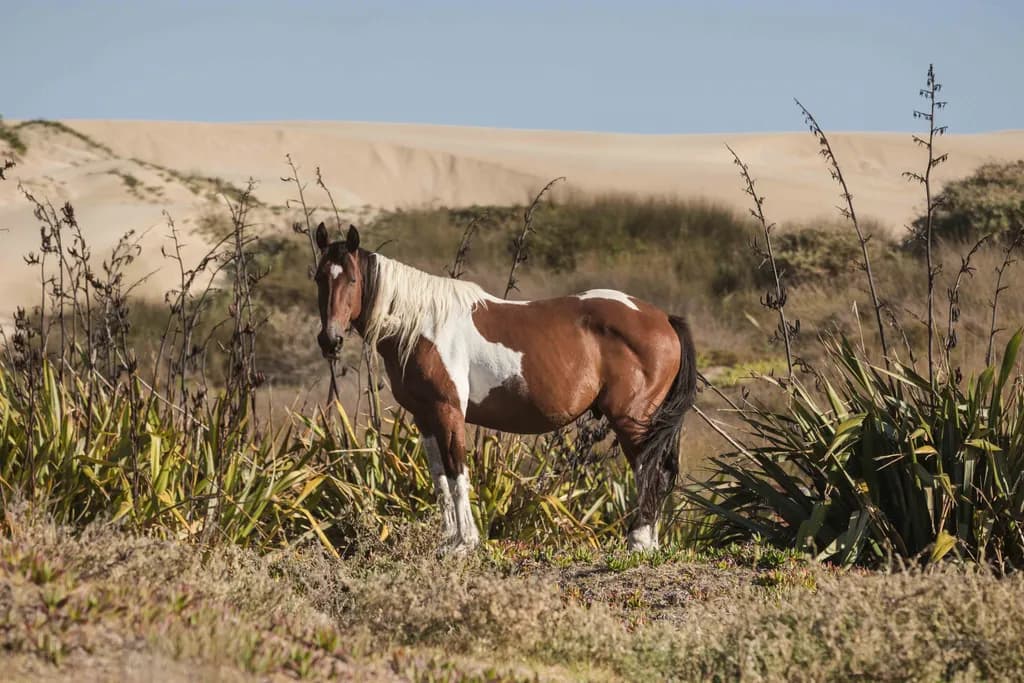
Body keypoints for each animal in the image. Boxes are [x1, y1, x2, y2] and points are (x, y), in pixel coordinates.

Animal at [314, 222, 697, 553]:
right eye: (318, 277)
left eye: (351, 278)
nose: (330, 340)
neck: (423, 325)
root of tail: (663, 318)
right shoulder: (425, 417)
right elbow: (439, 478)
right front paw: (446, 541)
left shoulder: (448, 412)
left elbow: (457, 473)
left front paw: (465, 543)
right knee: (659, 473)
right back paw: (651, 543)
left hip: (633, 420)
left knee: (648, 471)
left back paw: (639, 542)